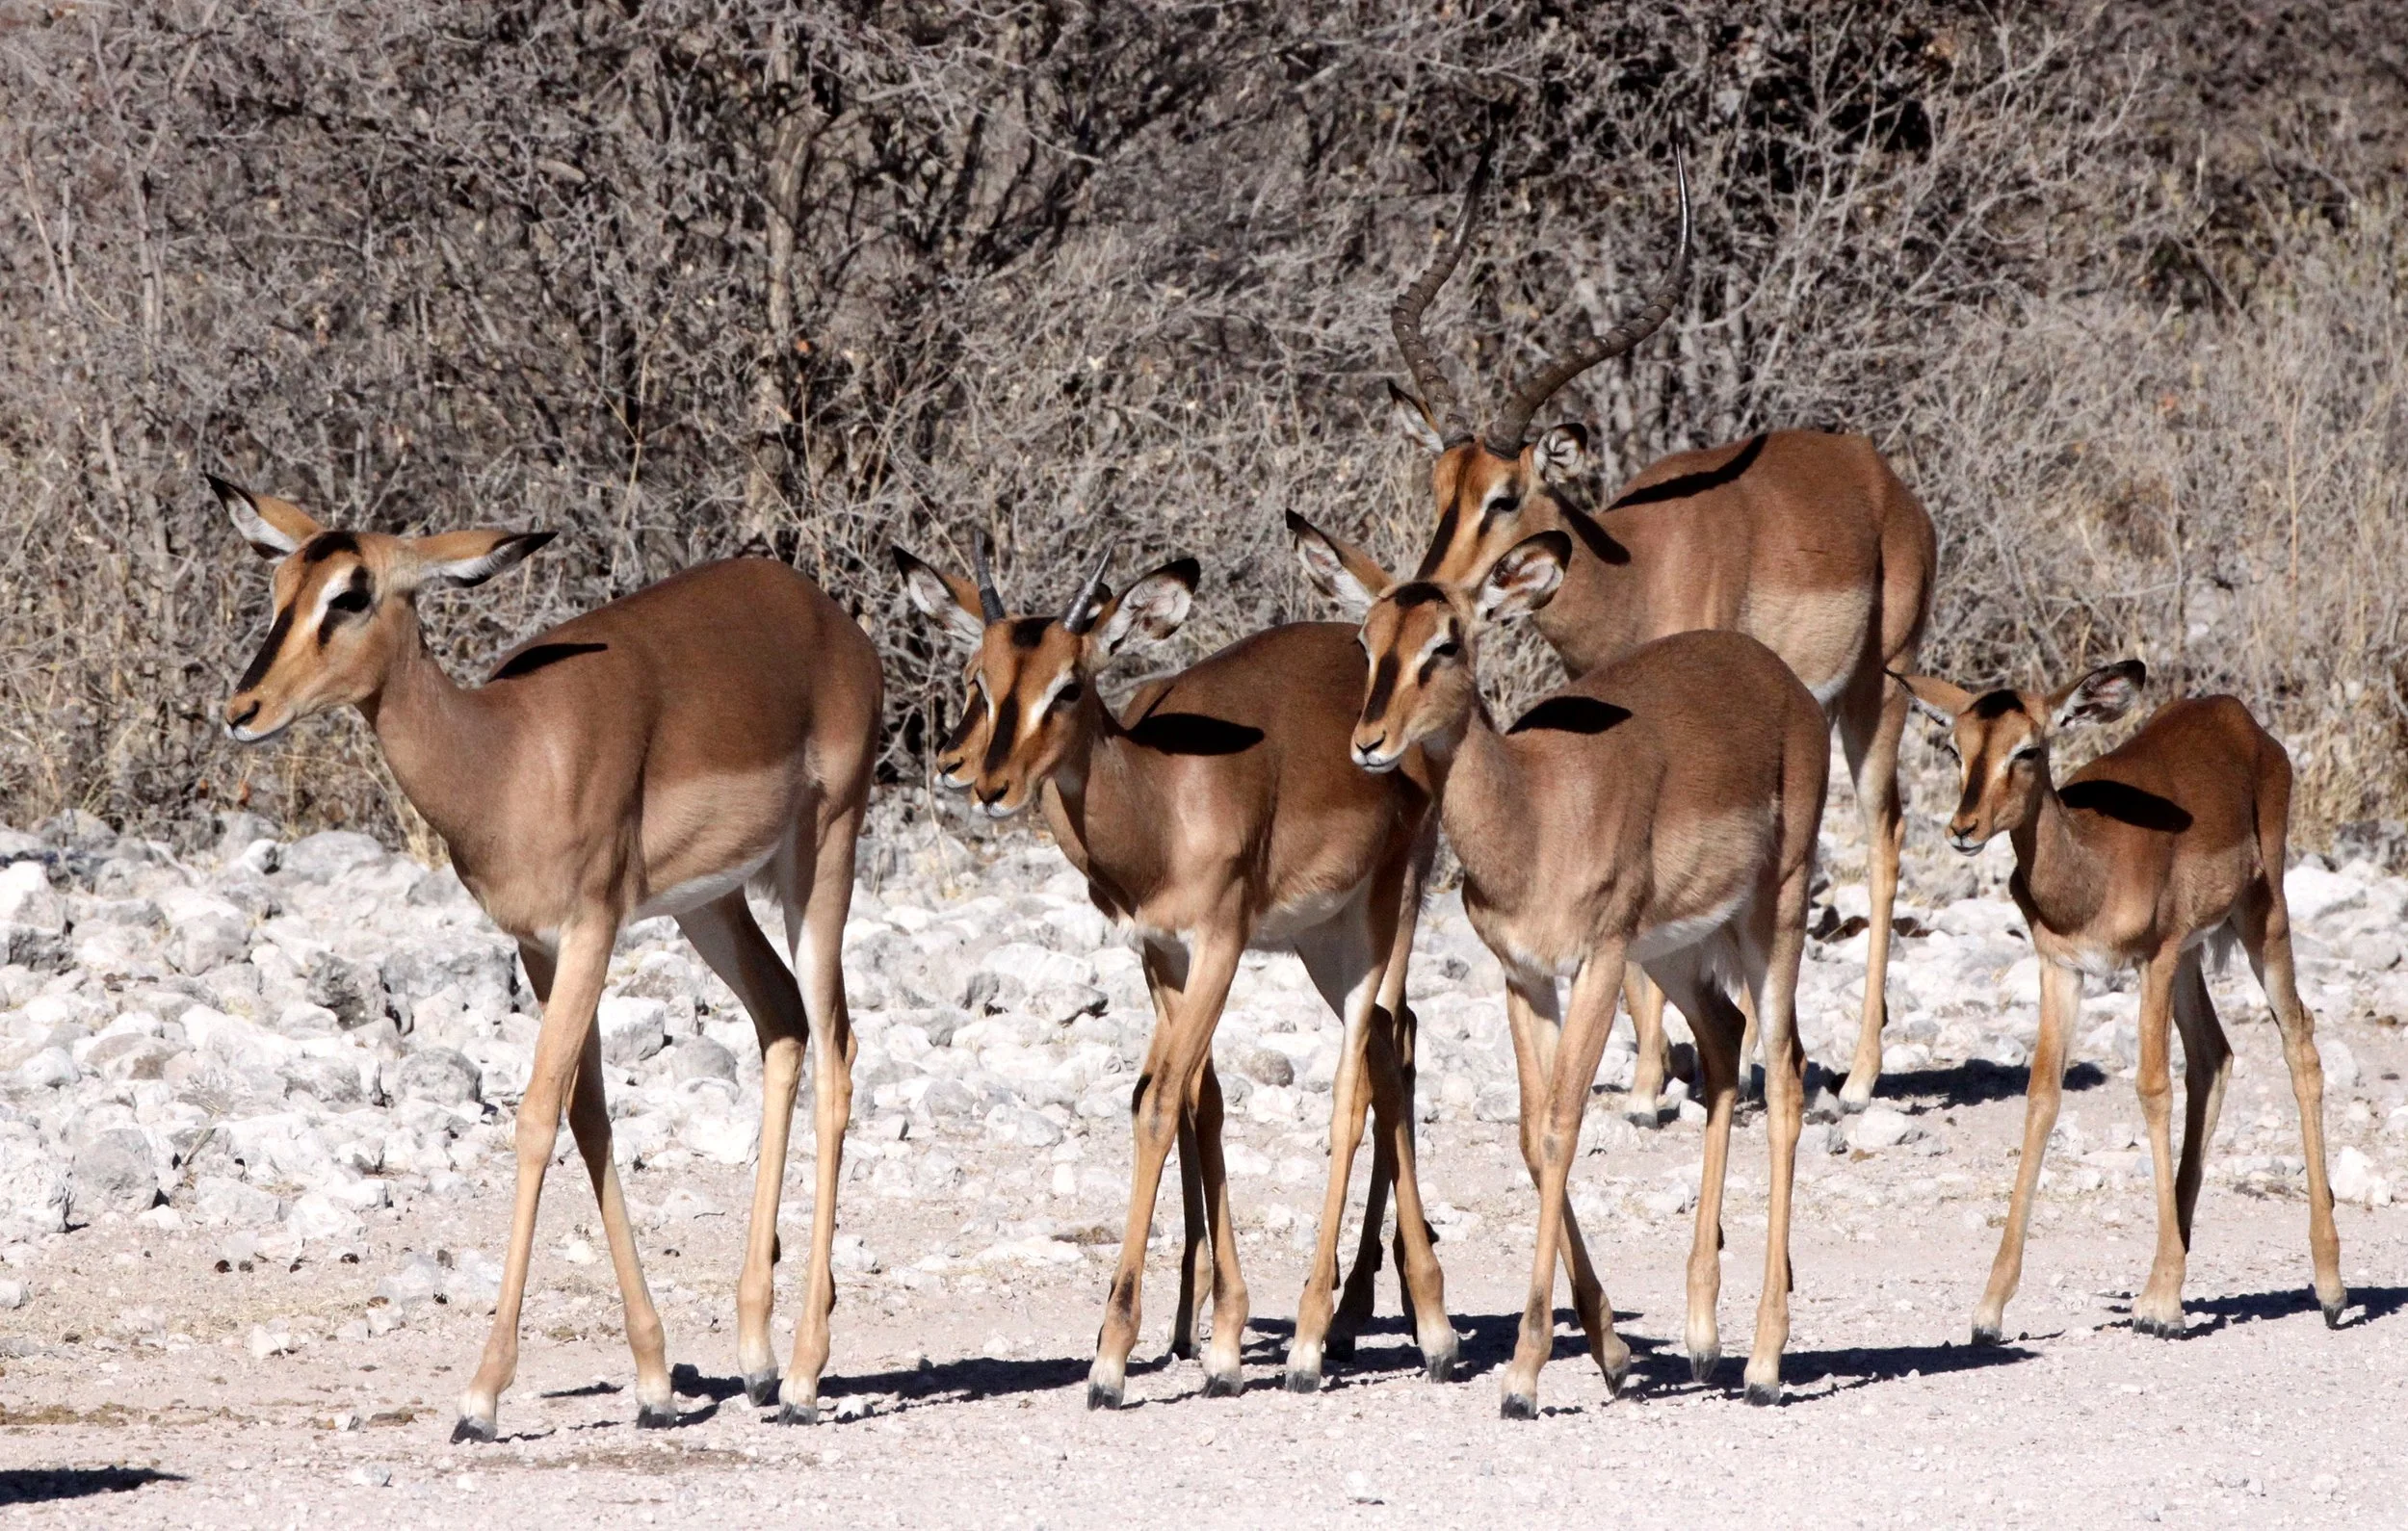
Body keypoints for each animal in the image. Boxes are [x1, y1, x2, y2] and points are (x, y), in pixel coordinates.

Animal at [212, 476, 882, 1438]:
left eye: (351, 594)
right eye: (279, 588)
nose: (241, 712)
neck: (508, 754)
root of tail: (829, 620)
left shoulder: (594, 931)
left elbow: (534, 1119)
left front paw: (481, 1397)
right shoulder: (539, 948)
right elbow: (588, 1117)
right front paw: (653, 1384)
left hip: (819, 860)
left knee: (837, 1053)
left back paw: (799, 1379)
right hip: (711, 904)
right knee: (784, 1022)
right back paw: (755, 1361)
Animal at [894, 537, 1455, 1401]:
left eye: (1069, 684)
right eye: (977, 679)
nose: (985, 783)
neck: (1162, 803)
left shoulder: (1220, 944)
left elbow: (1160, 1107)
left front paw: (1112, 1359)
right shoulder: (1163, 956)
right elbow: (1198, 1103)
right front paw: (1220, 1341)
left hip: (1382, 920)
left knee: (1361, 1084)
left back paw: (1345, 1338)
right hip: (1321, 943)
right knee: (1390, 1055)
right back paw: (1381, 1323)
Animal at [1292, 515, 1827, 1412]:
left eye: (1446, 642)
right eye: (1367, 641)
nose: (1368, 744)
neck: (1537, 811)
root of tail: (1782, 682)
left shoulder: (1599, 964)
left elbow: (1564, 1124)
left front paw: (1523, 1374)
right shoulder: (1524, 976)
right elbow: (1532, 1137)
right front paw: (1610, 1352)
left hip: (1771, 917)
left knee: (1783, 1077)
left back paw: (1762, 1364)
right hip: (1677, 950)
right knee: (1725, 1041)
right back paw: (1702, 1340)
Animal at [1382, 141, 1934, 1119]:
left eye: (1507, 494)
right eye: (1441, 483)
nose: (1435, 587)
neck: (1631, 570)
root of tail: (1885, 483)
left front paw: (1663, 1082)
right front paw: (1648, 1077)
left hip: (1881, 688)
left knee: (1885, 835)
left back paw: (1862, 1075)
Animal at [1897, 661, 2346, 1342]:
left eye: (2028, 749)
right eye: (1956, 747)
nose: (1963, 829)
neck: (2091, 867)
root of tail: (2236, 717)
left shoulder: (2152, 961)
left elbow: (2152, 1089)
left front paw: (2164, 1306)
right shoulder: (2062, 969)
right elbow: (2042, 1097)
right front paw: (1989, 1310)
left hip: (2260, 921)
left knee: (2301, 1041)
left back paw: (2329, 1289)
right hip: (2192, 956)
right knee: (2214, 1056)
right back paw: (2169, 1269)